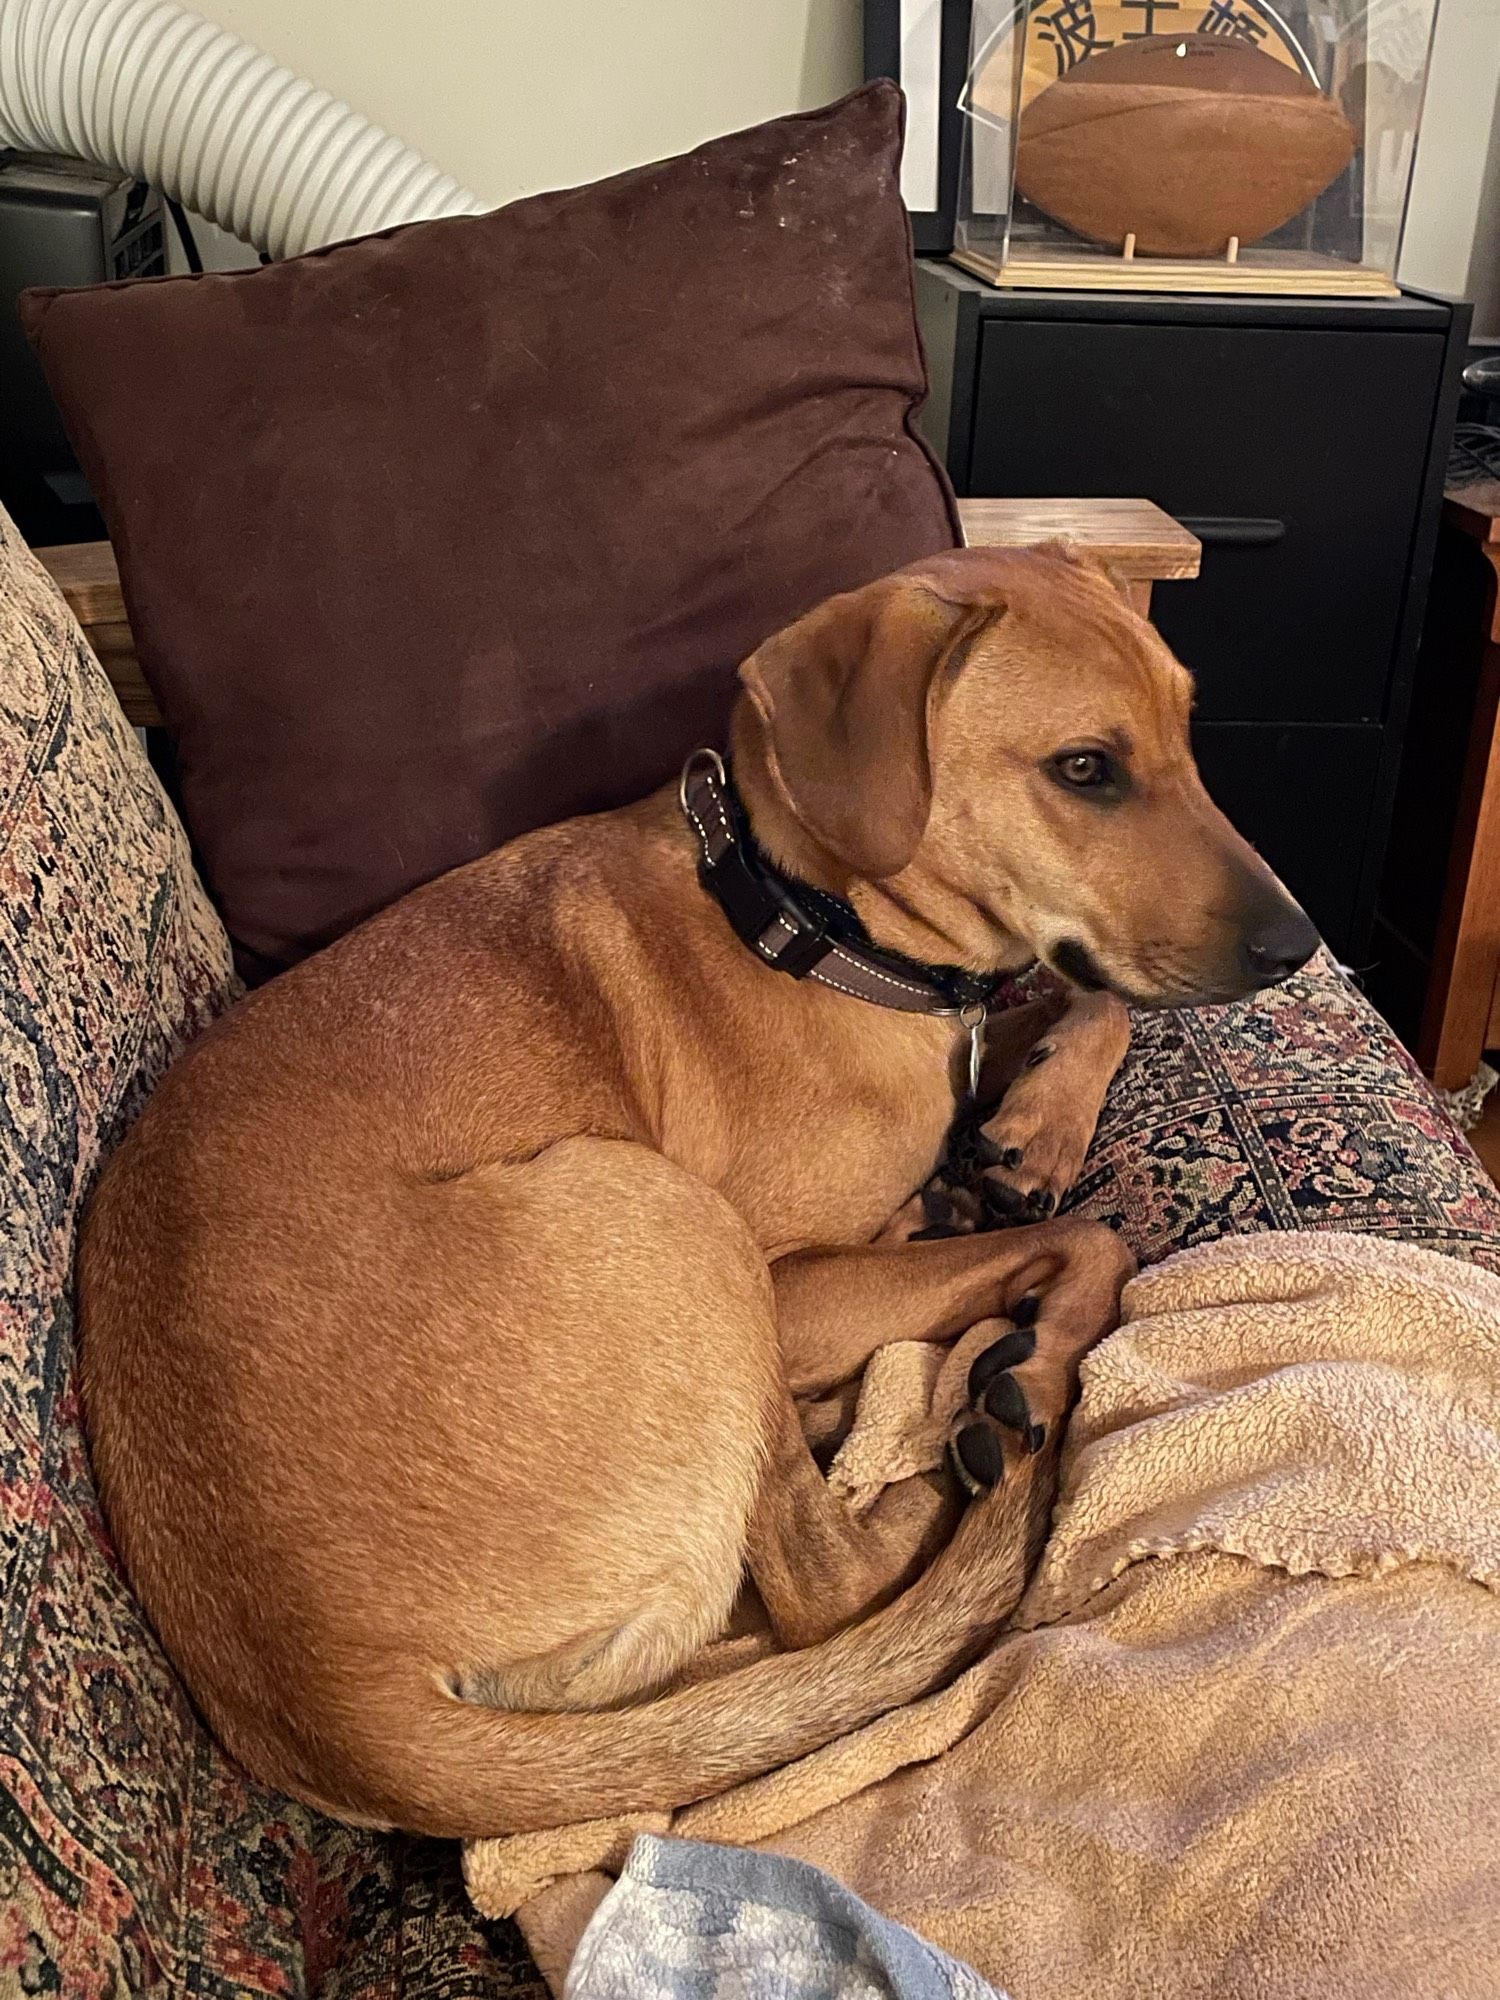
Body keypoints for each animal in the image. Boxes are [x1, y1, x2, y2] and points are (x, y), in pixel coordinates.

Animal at [79, 540, 1312, 1832]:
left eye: (1187, 731)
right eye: (1085, 769)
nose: (1302, 946)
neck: (813, 923)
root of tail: (336, 1708)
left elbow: (1094, 1001)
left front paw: (1033, 1131)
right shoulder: (792, 1282)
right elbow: (1096, 1241)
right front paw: (1030, 1351)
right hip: (670, 1220)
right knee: (831, 1584)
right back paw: (948, 1453)